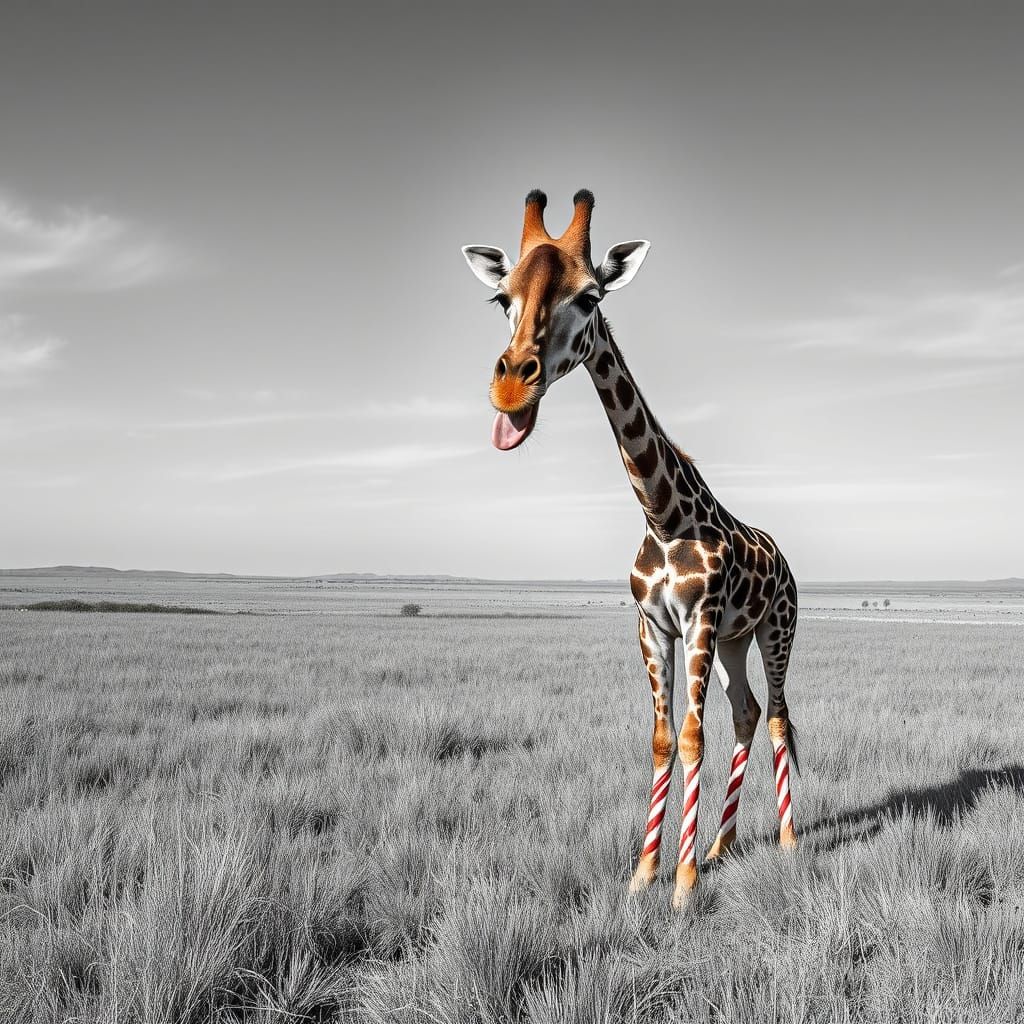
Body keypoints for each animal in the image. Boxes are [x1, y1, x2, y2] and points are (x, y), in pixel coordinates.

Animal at [461, 190, 800, 910]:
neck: (664, 517)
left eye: (590, 296)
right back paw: (725, 842)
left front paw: (684, 885)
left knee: (780, 716)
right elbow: (664, 739)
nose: (512, 387)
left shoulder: (698, 620)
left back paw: (786, 839)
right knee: (748, 711)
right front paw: (646, 872)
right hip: (734, 641)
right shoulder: (653, 625)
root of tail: (783, 556)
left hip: (776, 629)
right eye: (501, 298)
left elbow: (693, 737)